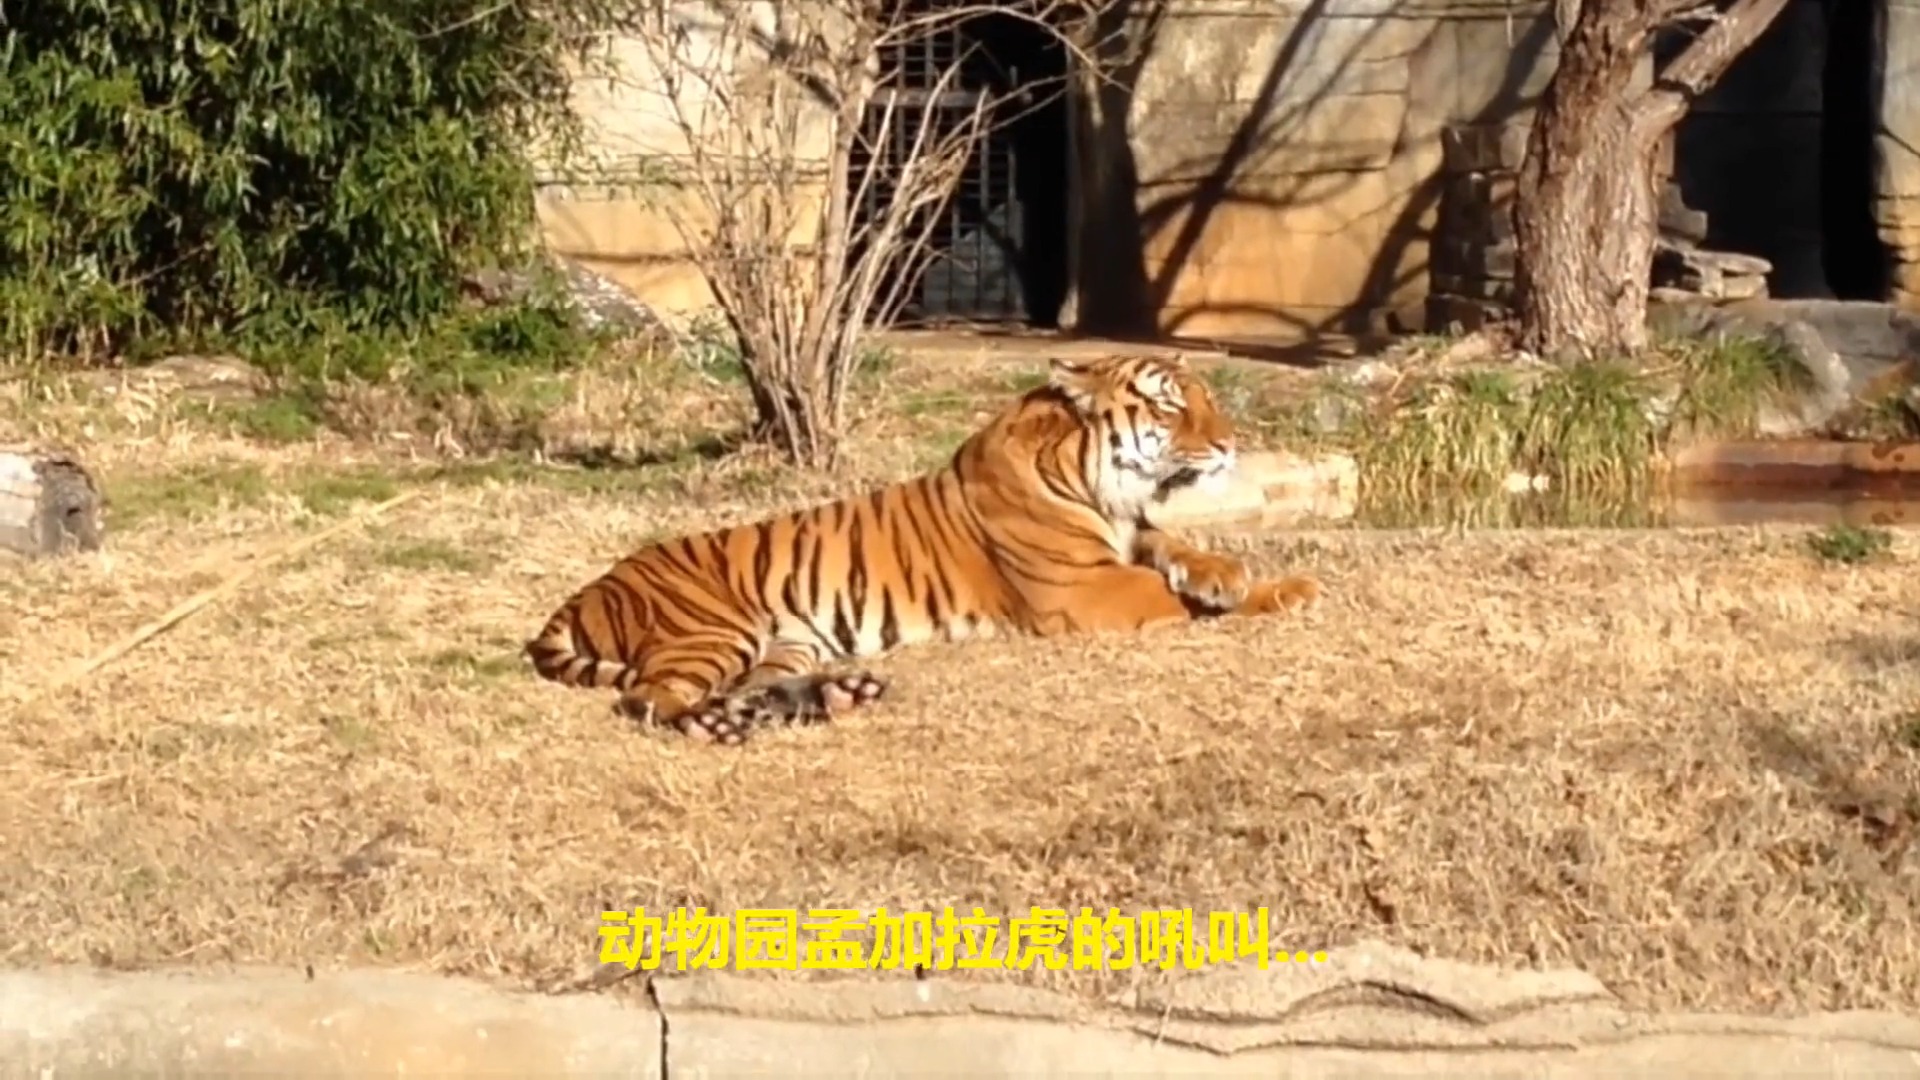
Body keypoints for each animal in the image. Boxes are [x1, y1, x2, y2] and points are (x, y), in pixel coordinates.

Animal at [524, 352, 1321, 745]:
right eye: (1169, 404)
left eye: (1205, 396)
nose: (1230, 445)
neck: (1100, 482)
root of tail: (579, 596)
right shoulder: (1085, 592)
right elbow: (1172, 596)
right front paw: (1243, 599)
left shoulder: (1134, 537)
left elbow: (1184, 551)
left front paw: (1263, 583)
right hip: (713, 629)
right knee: (647, 697)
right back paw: (711, 726)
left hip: (787, 644)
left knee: (749, 691)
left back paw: (838, 696)